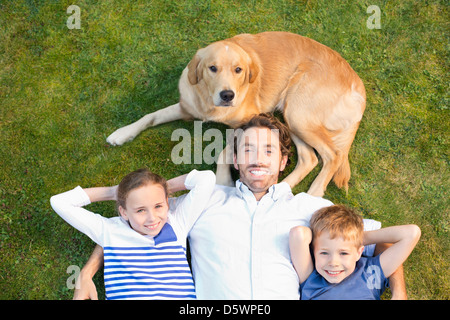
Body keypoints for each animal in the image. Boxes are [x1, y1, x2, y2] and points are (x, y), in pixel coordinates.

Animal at [106, 32, 366, 198]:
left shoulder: (248, 120)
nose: (227, 95)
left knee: (332, 155)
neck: (209, 103)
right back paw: (281, 189)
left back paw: (312, 194)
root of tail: (358, 86)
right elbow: (150, 116)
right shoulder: (186, 107)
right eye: (212, 68)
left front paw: (223, 182)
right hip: (290, 115)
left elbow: (223, 154)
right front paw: (122, 133)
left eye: (238, 70)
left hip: (297, 113)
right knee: (309, 158)